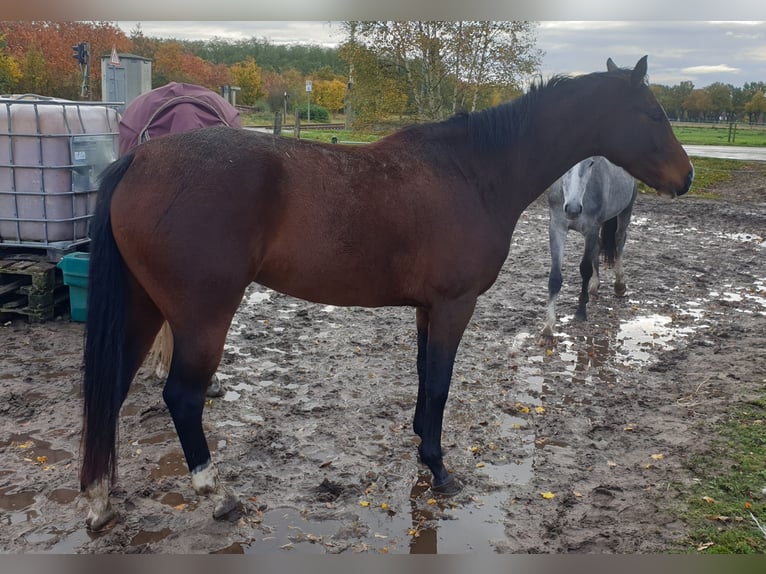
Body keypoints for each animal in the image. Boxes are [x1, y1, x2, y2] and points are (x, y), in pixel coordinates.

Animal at [540, 156, 640, 346]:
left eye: (591, 163)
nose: (572, 209)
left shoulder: (591, 229)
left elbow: (585, 269)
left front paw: (580, 311)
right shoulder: (557, 227)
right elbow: (555, 277)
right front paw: (548, 328)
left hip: (626, 210)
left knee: (619, 240)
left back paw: (619, 285)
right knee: (599, 247)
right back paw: (595, 286)